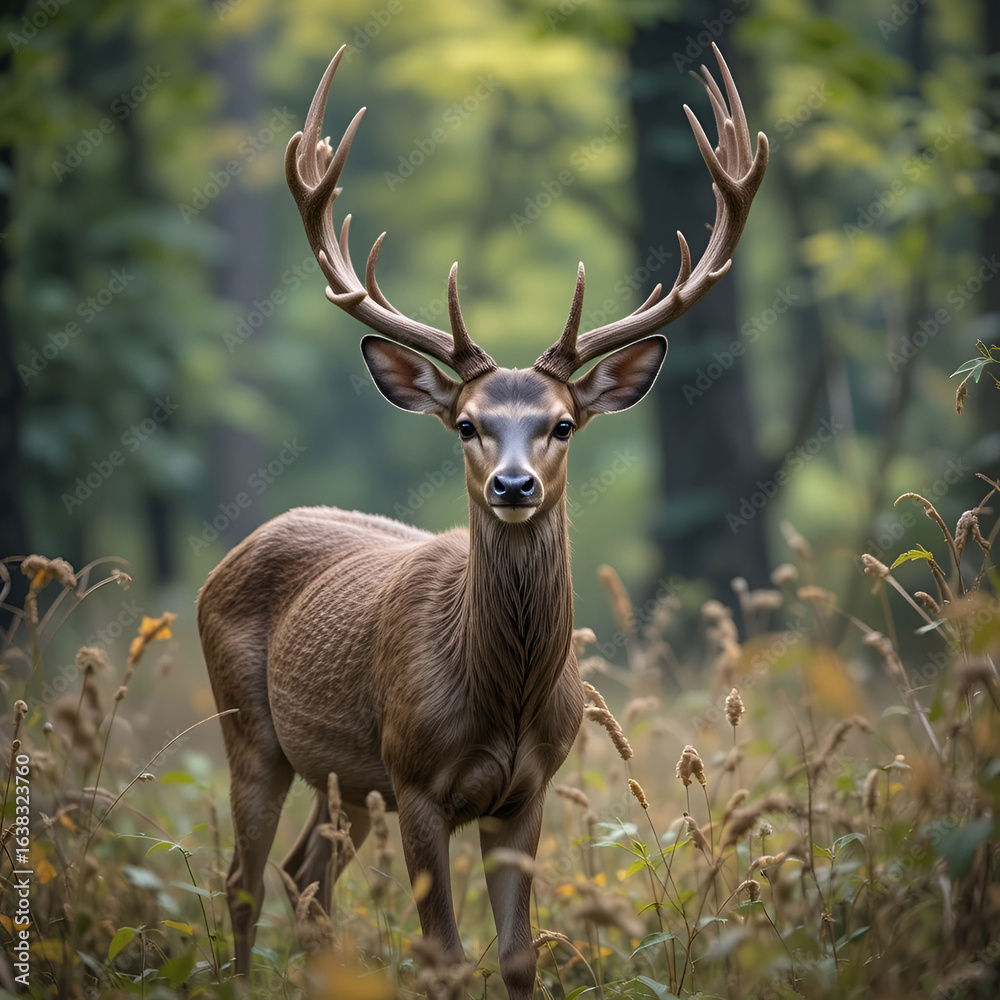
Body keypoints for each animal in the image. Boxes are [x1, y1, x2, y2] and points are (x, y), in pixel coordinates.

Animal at [197, 41, 766, 999]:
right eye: (467, 423)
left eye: (562, 423)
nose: (512, 484)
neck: (501, 698)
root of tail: (231, 555)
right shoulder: (418, 780)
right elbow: (445, 955)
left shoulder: (526, 791)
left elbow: (516, 956)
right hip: (253, 729)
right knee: (244, 876)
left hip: (350, 781)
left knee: (303, 877)